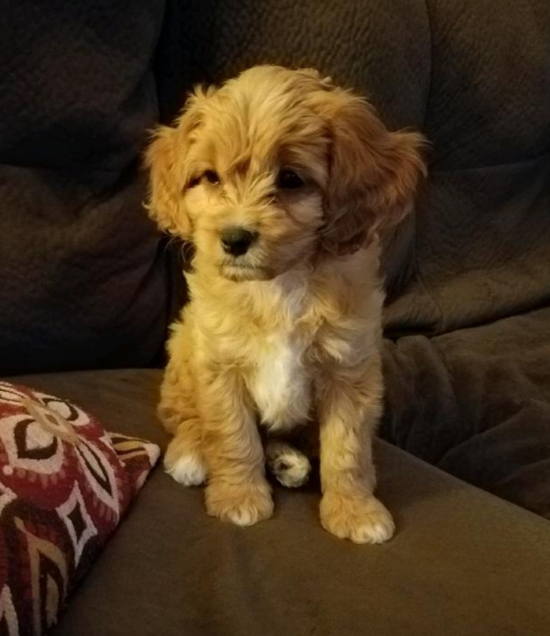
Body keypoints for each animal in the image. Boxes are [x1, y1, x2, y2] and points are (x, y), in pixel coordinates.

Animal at [144, 63, 424, 540]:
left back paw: (288, 460)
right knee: (182, 416)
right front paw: (239, 498)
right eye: (210, 178)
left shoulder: (349, 370)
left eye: (291, 179)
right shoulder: (219, 364)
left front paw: (355, 511)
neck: (279, 286)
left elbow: (347, 449)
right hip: (183, 346)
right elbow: (233, 436)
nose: (234, 238)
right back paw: (191, 454)